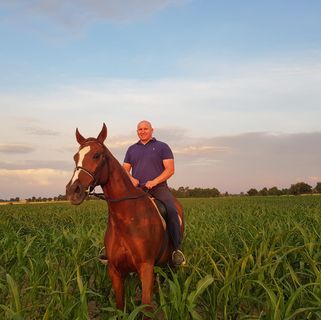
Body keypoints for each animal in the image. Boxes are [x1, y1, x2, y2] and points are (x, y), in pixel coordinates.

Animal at [65, 124, 182, 312]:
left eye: (97, 155)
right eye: (76, 157)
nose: (72, 191)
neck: (127, 220)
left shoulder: (146, 268)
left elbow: (146, 308)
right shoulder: (115, 270)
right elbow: (120, 307)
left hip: (170, 267)